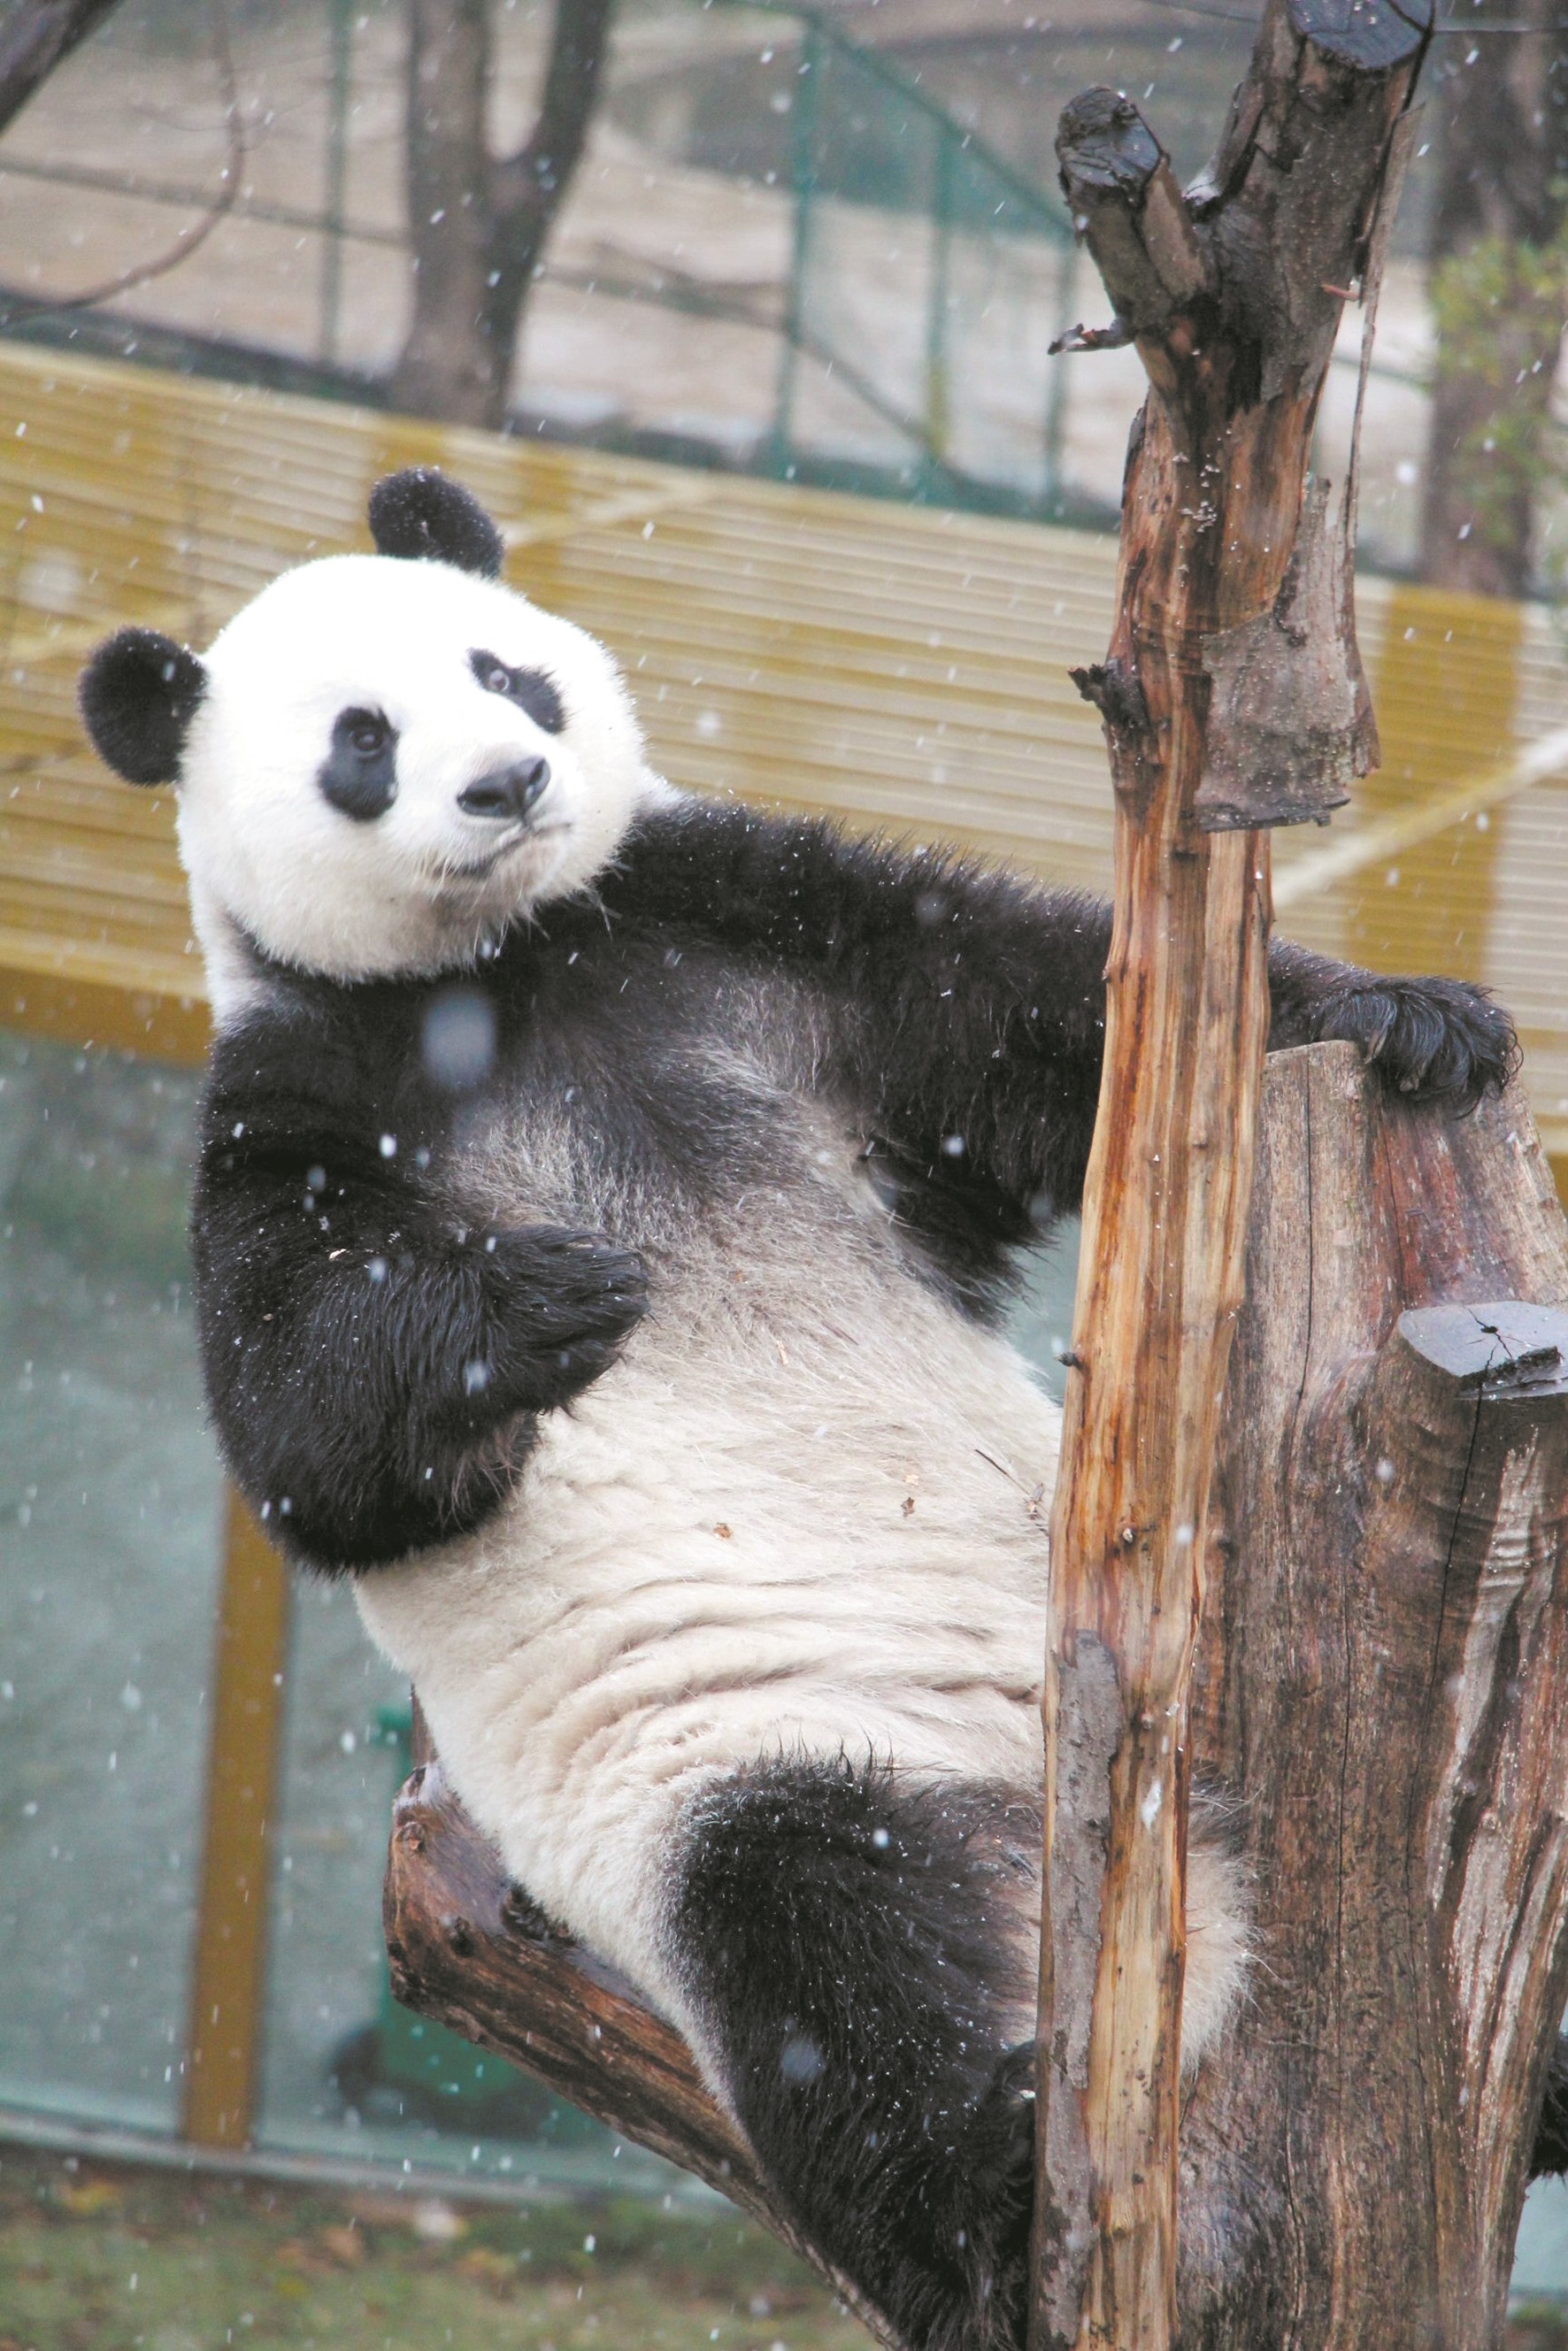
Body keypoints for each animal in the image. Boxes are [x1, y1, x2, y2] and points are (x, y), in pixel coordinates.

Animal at [80, 467, 1523, 2341]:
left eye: (506, 673)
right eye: (361, 745)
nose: (507, 782)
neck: (512, 974)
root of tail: (1158, 1927)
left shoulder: (741, 933)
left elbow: (1033, 1013)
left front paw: (1408, 1019)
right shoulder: (300, 1095)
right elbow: (311, 1434)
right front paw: (537, 1303)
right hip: (778, 1769)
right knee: (827, 1968)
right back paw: (991, 2198)